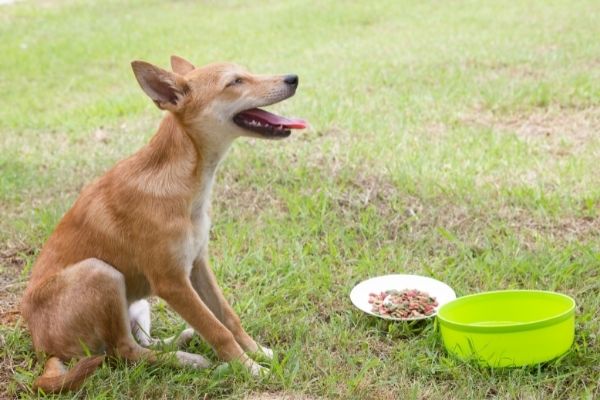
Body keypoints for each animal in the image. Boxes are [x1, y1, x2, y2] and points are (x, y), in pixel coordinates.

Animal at [20, 54, 308, 392]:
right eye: (235, 82)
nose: (293, 78)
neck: (187, 181)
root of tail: (43, 349)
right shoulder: (172, 282)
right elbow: (217, 329)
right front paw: (250, 369)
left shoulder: (197, 265)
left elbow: (227, 316)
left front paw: (257, 351)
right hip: (100, 272)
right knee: (124, 351)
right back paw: (189, 361)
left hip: (137, 303)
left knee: (142, 342)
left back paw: (180, 342)